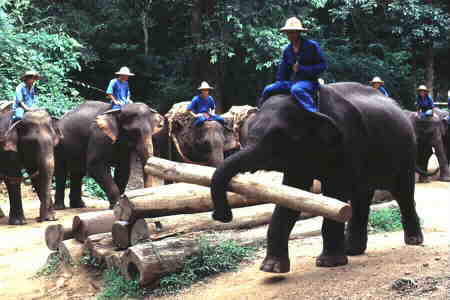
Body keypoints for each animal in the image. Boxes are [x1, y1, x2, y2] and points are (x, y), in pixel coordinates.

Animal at [211, 82, 426, 274]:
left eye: (278, 137)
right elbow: (292, 195)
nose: (222, 216)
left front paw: (328, 263)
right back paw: (352, 250)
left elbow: (335, 192)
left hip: (406, 151)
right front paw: (271, 269)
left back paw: (413, 241)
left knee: (402, 192)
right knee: (361, 197)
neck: (310, 106)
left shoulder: (346, 142)